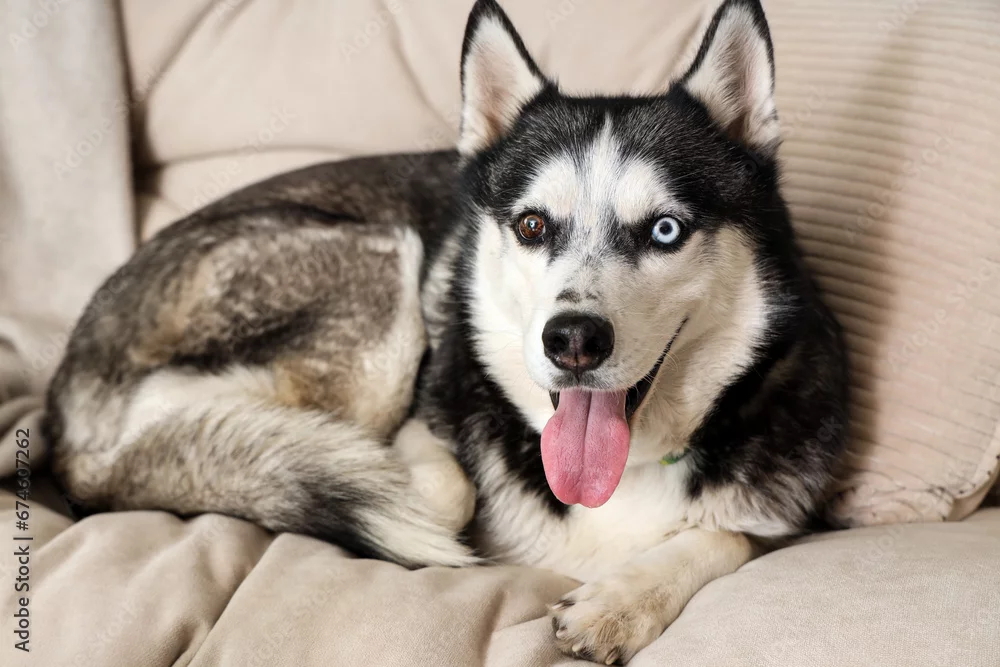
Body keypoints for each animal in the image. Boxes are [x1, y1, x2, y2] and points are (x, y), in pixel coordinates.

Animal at [43, 0, 849, 662]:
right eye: (532, 225)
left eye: (665, 230)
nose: (572, 340)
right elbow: (445, 493)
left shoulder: (781, 512)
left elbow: (722, 534)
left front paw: (620, 603)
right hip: (382, 271)